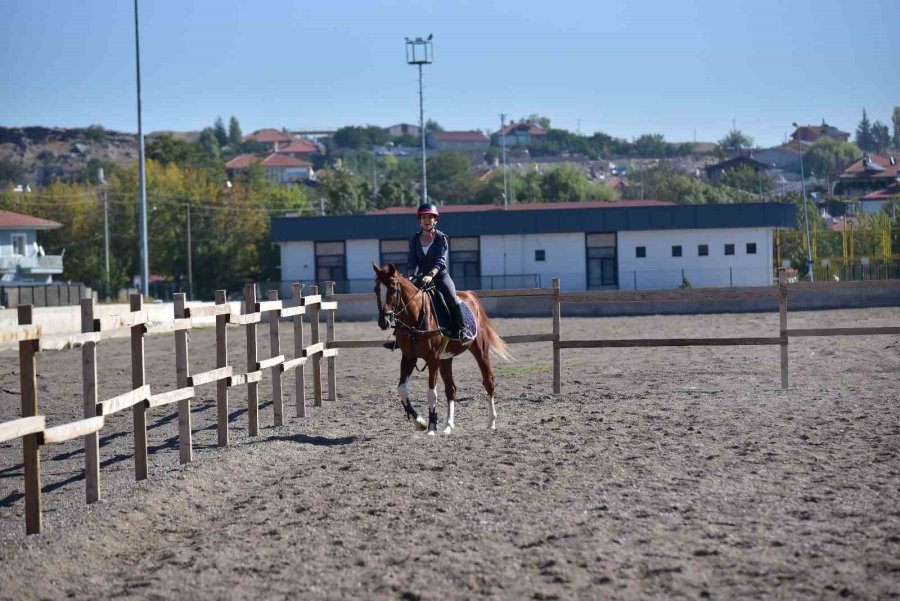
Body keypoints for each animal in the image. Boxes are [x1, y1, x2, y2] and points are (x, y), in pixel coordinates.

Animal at [372, 264, 512, 434]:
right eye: (376, 289)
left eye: (393, 288)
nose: (383, 321)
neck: (416, 316)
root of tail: (470, 296)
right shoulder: (408, 358)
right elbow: (402, 389)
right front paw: (419, 422)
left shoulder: (433, 359)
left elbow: (431, 393)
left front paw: (432, 426)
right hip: (446, 358)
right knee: (451, 389)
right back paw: (448, 426)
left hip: (480, 351)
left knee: (488, 382)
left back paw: (491, 422)